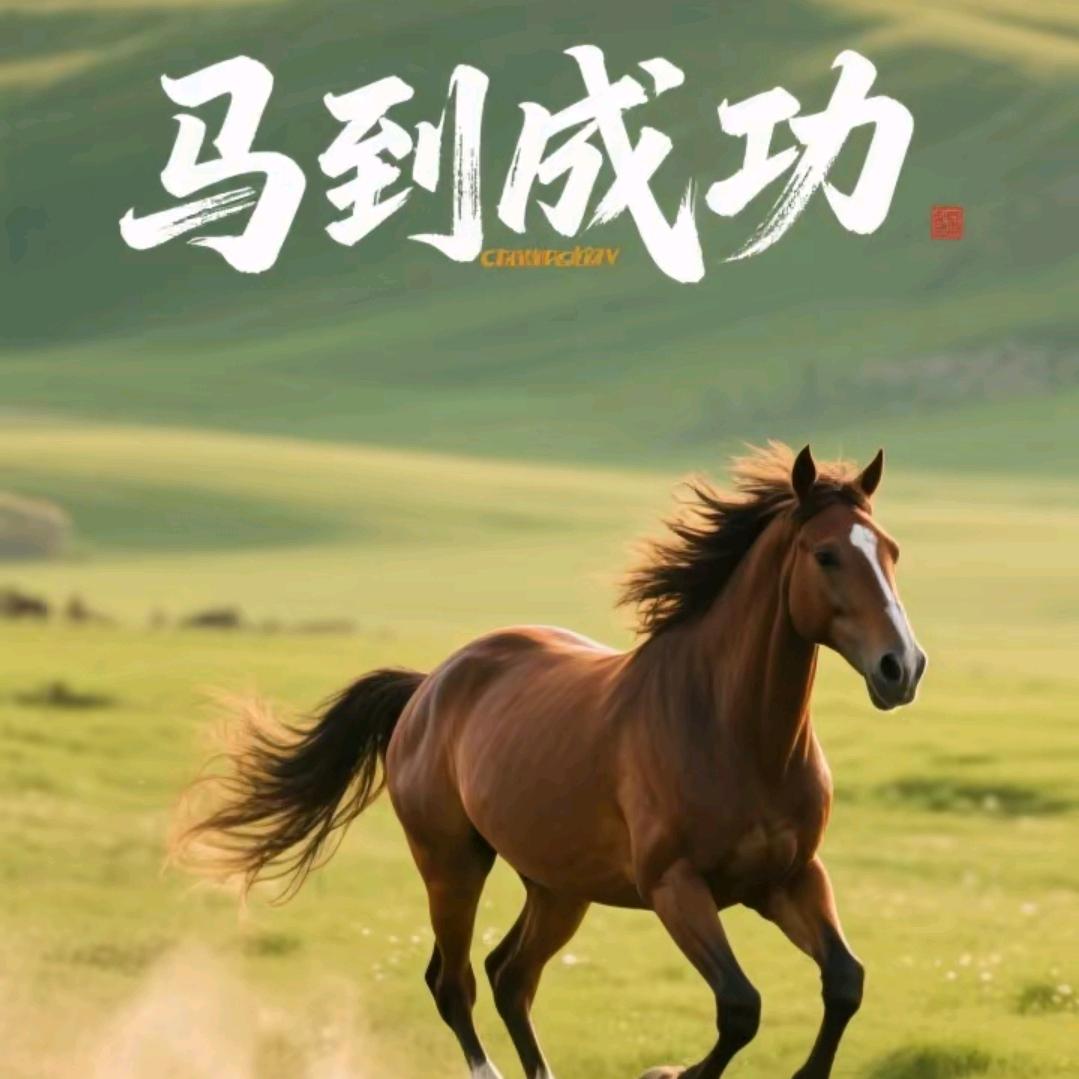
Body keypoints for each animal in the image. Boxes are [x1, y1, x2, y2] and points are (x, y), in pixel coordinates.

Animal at [173, 442, 927, 1079]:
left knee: (509, 976)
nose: (902, 667)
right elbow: (740, 1007)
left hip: (559, 885)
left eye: (890, 550)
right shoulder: (675, 886)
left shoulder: (789, 877)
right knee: (454, 982)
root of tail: (428, 685)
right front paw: (665, 1073)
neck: (733, 733)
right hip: (452, 864)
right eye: (825, 555)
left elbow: (844, 983)